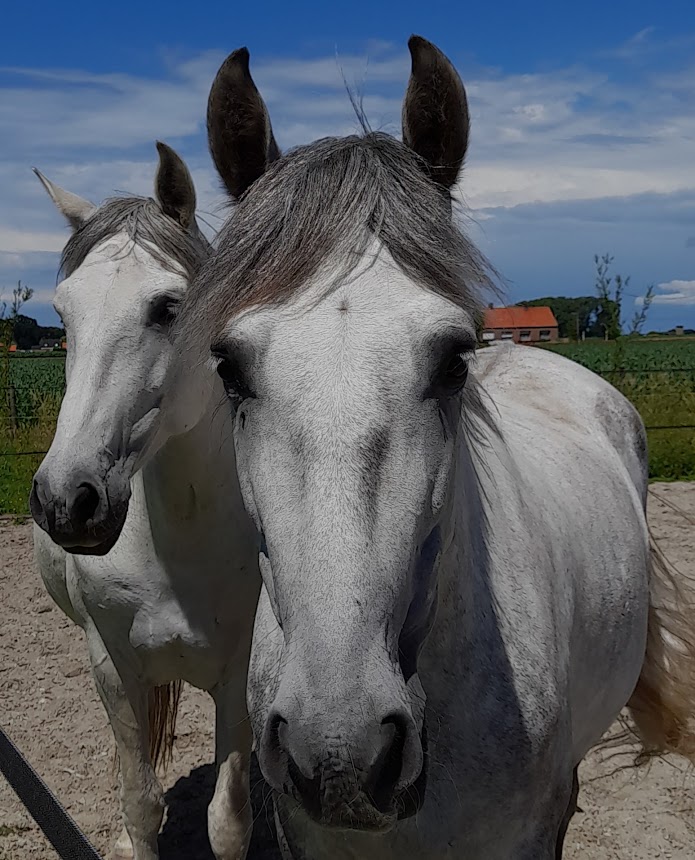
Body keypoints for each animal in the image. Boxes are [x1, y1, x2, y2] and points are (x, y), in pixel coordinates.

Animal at [30, 143, 260, 860]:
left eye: (167, 307)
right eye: (63, 314)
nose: (66, 501)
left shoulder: (240, 676)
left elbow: (229, 820)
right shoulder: (114, 669)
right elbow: (140, 803)